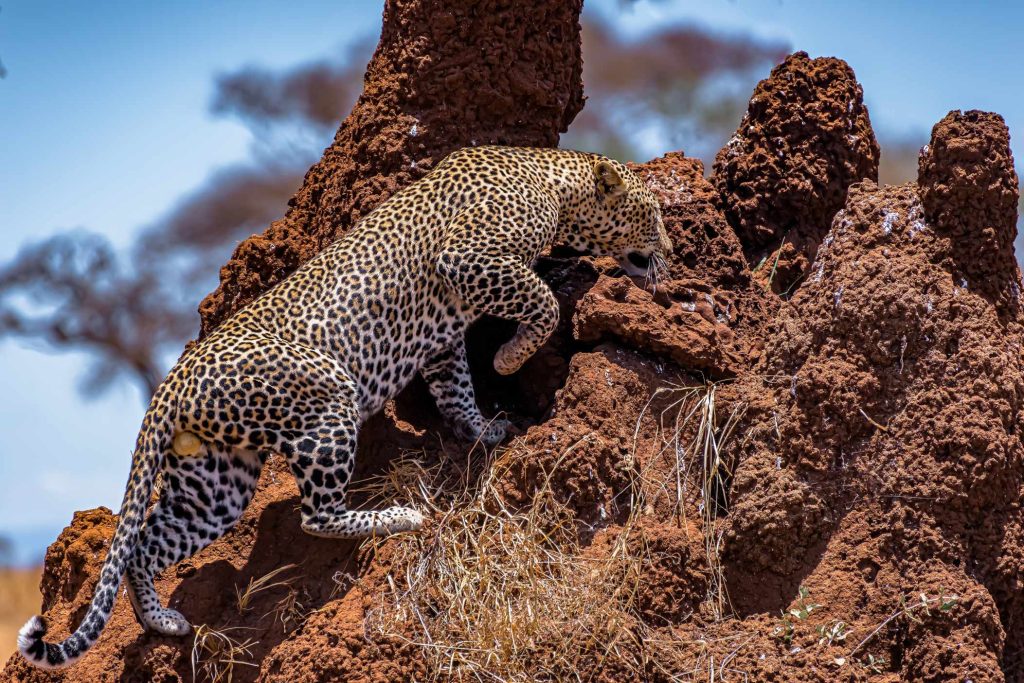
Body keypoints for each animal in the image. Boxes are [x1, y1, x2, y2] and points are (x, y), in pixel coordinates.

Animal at [19, 145, 670, 669]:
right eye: (657, 215)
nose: (666, 252)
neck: (556, 182)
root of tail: (168, 384)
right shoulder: (468, 260)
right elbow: (542, 303)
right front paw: (510, 359)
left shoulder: (442, 340)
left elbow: (455, 388)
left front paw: (483, 429)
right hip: (329, 395)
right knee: (315, 514)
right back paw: (399, 517)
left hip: (216, 478)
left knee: (147, 545)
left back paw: (162, 621)